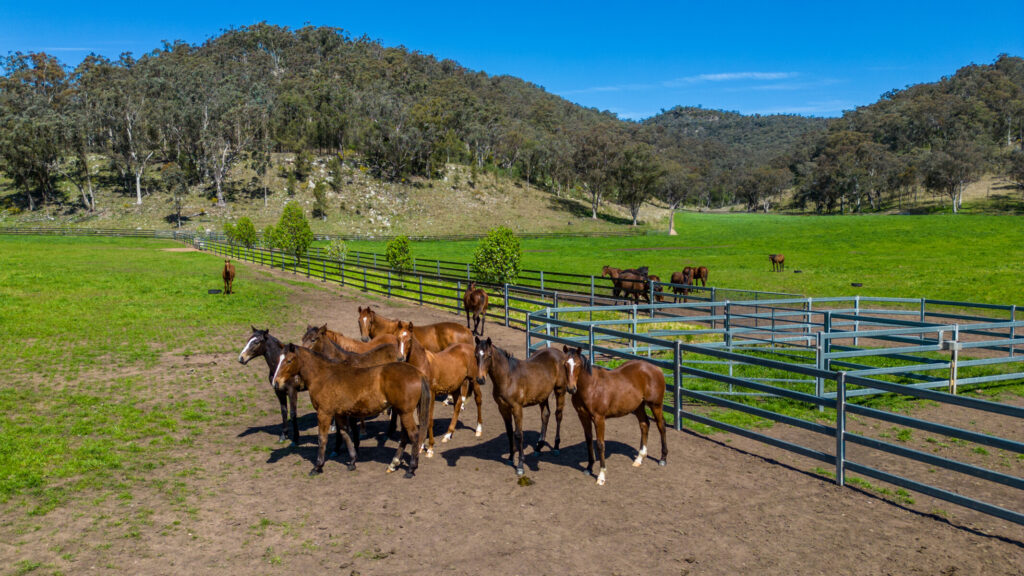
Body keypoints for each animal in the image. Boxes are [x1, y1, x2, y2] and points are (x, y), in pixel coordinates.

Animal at [270, 340, 430, 475]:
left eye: (289, 360)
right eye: (278, 360)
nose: (276, 383)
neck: (323, 376)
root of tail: (418, 373)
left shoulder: (324, 413)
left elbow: (322, 438)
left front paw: (318, 466)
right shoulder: (339, 413)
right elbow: (345, 434)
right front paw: (352, 461)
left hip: (405, 412)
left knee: (413, 435)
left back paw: (411, 468)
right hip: (402, 412)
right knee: (404, 435)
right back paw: (394, 463)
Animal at [397, 323, 481, 453]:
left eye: (409, 339)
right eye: (398, 338)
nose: (401, 358)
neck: (423, 364)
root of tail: (469, 348)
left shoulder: (431, 394)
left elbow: (429, 420)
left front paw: (430, 448)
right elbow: (422, 419)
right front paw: (421, 445)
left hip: (474, 380)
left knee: (478, 400)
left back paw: (478, 429)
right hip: (456, 386)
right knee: (457, 406)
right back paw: (448, 434)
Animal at [473, 334, 569, 473]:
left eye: (489, 355)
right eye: (476, 355)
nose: (480, 380)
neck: (508, 378)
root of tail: (560, 353)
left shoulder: (517, 408)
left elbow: (518, 434)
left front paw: (520, 465)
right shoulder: (503, 408)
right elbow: (509, 432)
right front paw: (510, 458)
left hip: (560, 390)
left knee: (558, 415)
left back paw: (556, 447)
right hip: (542, 395)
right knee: (545, 415)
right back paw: (538, 447)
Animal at [561, 344, 671, 483]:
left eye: (578, 365)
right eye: (565, 364)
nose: (571, 389)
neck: (591, 387)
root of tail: (656, 369)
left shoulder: (599, 418)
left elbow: (600, 444)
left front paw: (601, 476)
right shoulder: (583, 416)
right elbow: (588, 440)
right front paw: (589, 467)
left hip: (655, 405)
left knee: (661, 426)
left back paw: (663, 459)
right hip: (638, 406)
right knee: (644, 424)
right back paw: (639, 458)